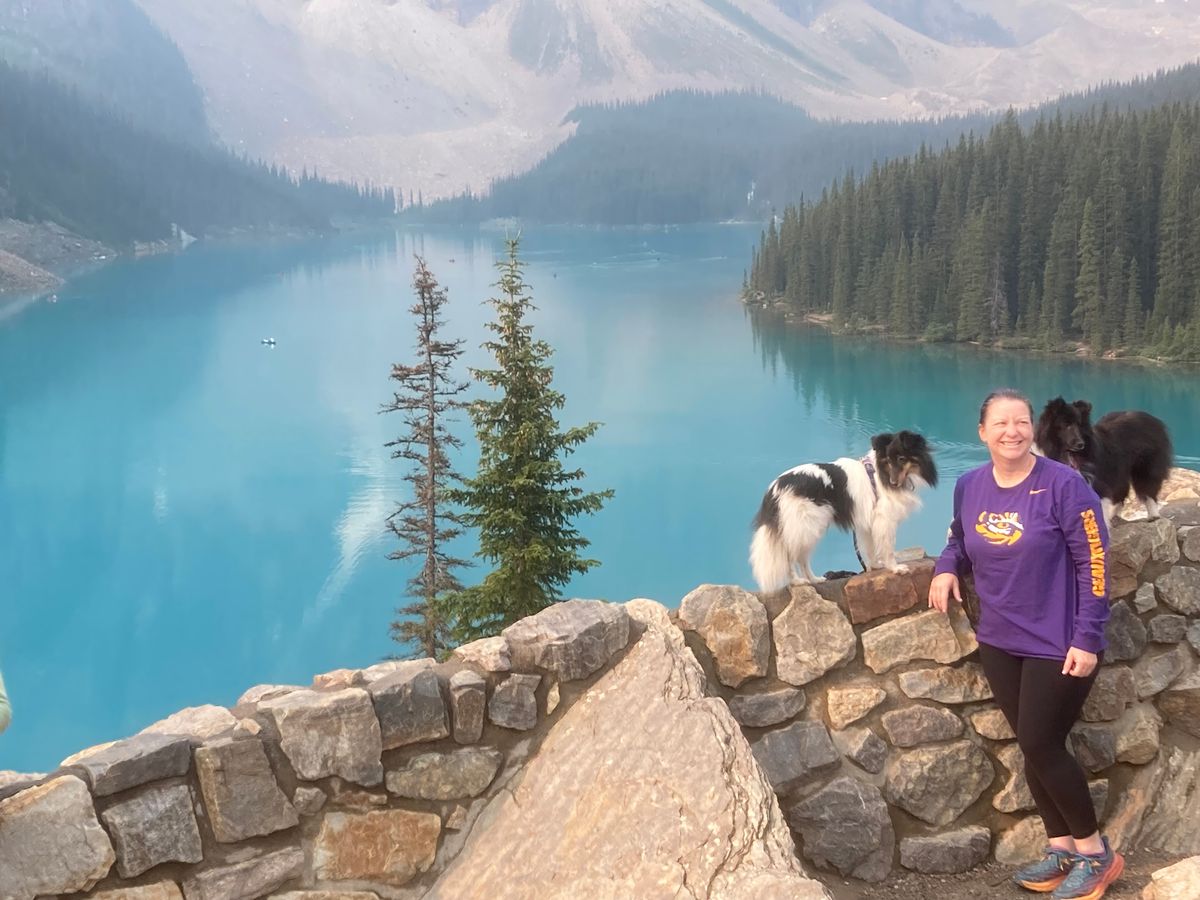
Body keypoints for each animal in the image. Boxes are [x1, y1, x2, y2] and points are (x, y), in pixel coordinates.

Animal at [749, 431, 937, 591]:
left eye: (901, 458)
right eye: (889, 461)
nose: (893, 482)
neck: (879, 472)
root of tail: (774, 489)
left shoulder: (869, 522)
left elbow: (870, 548)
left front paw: (875, 566)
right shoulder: (884, 520)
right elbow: (887, 547)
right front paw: (896, 568)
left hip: (808, 529)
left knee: (803, 559)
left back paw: (815, 579)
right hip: (803, 527)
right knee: (789, 557)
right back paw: (797, 581)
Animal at [1034, 397, 1173, 524]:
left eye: (1079, 424)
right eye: (1065, 425)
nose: (1080, 444)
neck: (1069, 454)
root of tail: (1154, 419)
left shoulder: (1097, 482)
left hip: (1145, 466)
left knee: (1148, 487)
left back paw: (1153, 515)